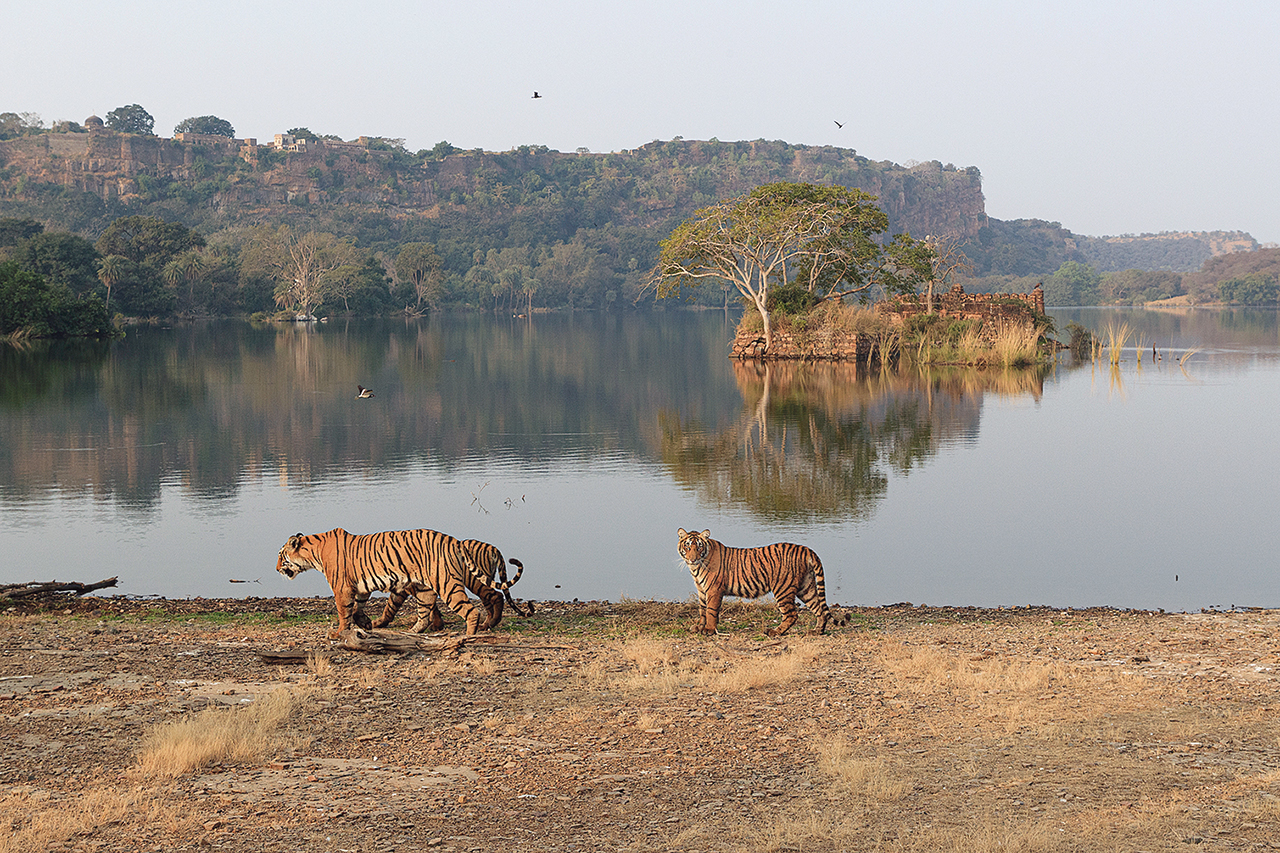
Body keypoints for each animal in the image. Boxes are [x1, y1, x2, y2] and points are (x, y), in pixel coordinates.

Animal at [275, 527, 496, 638]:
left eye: (280, 555)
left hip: (447, 584)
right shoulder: (360, 588)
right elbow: (357, 608)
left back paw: (468, 635)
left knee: (471, 611)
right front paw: (365, 623)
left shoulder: (342, 588)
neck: (314, 553)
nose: (277, 569)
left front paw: (339, 632)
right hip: (424, 589)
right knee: (424, 615)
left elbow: (343, 611)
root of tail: (454, 540)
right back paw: (412, 633)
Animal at [362, 539, 532, 633]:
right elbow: (394, 606)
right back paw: (486, 624)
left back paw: (490, 623)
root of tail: (492, 547)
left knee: (497, 595)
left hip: (475, 581)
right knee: (490, 601)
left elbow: (393, 606)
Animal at [677, 527, 832, 636]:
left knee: (792, 615)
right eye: (688, 546)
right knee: (819, 609)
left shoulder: (713, 590)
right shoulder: (702, 590)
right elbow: (702, 609)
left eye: (699, 547)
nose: (692, 559)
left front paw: (709, 629)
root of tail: (805, 549)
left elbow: (710, 611)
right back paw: (817, 631)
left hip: (783, 589)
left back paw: (775, 632)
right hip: (806, 587)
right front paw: (699, 627)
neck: (696, 567)